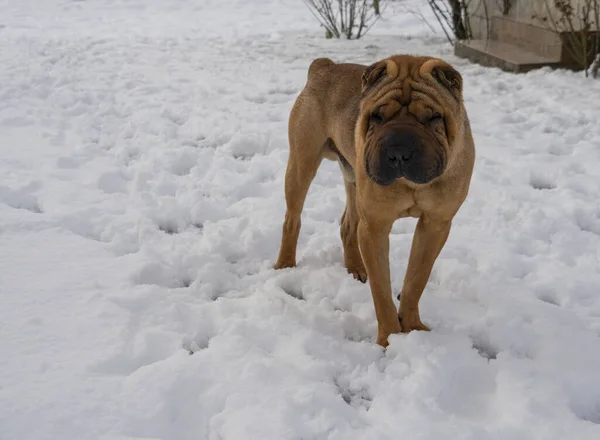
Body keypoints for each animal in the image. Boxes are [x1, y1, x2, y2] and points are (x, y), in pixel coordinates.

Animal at [274, 54, 476, 348]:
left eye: (433, 117)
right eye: (377, 116)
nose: (399, 151)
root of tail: (324, 66)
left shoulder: (435, 224)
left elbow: (417, 278)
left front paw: (412, 327)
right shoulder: (375, 226)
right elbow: (381, 288)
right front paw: (390, 338)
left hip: (354, 182)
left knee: (347, 225)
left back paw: (356, 268)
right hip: (302, 163)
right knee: (292, 219)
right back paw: (285, 265)